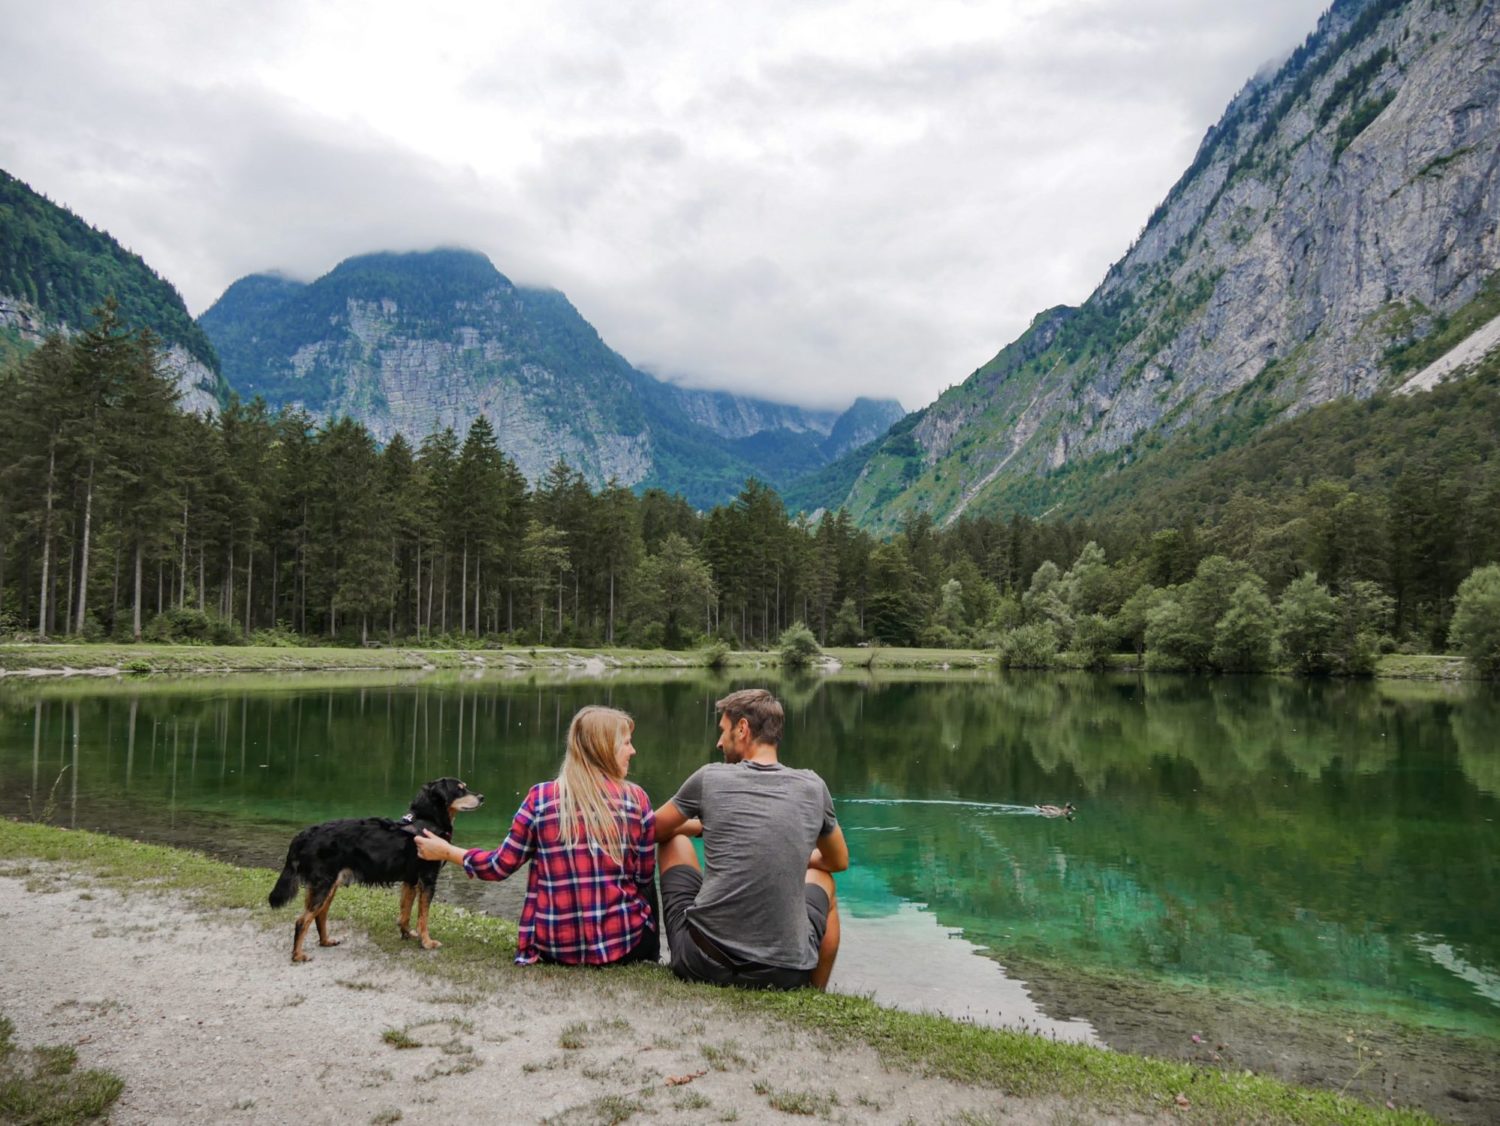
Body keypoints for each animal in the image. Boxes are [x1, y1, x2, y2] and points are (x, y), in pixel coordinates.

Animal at [267, 779, 483, 965]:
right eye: (460, 789)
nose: (482, 797)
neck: (426, 822)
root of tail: (304, 834)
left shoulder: (410, 881)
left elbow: (405, 913)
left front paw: (406, 934)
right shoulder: (427, 879)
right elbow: (423, 917)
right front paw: (427, 942)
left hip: (328, 885)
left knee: (320, 915)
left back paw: (326, 941)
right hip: (323, 885)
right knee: (302, 921)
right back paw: (297, 955)